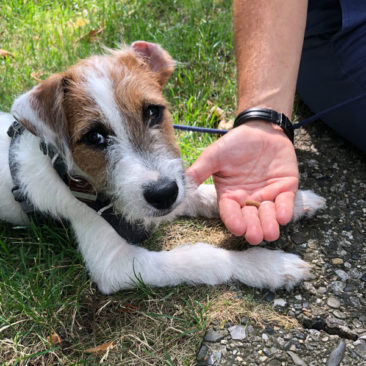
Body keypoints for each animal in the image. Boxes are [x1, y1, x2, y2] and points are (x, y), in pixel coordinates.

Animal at [0, 41, 324, 294]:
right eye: (95, 137)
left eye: (153, 112)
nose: (163, 193)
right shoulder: (115, 265)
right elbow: (201, 257)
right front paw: (265, 265)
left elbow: (202, 194)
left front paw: (295, 202)